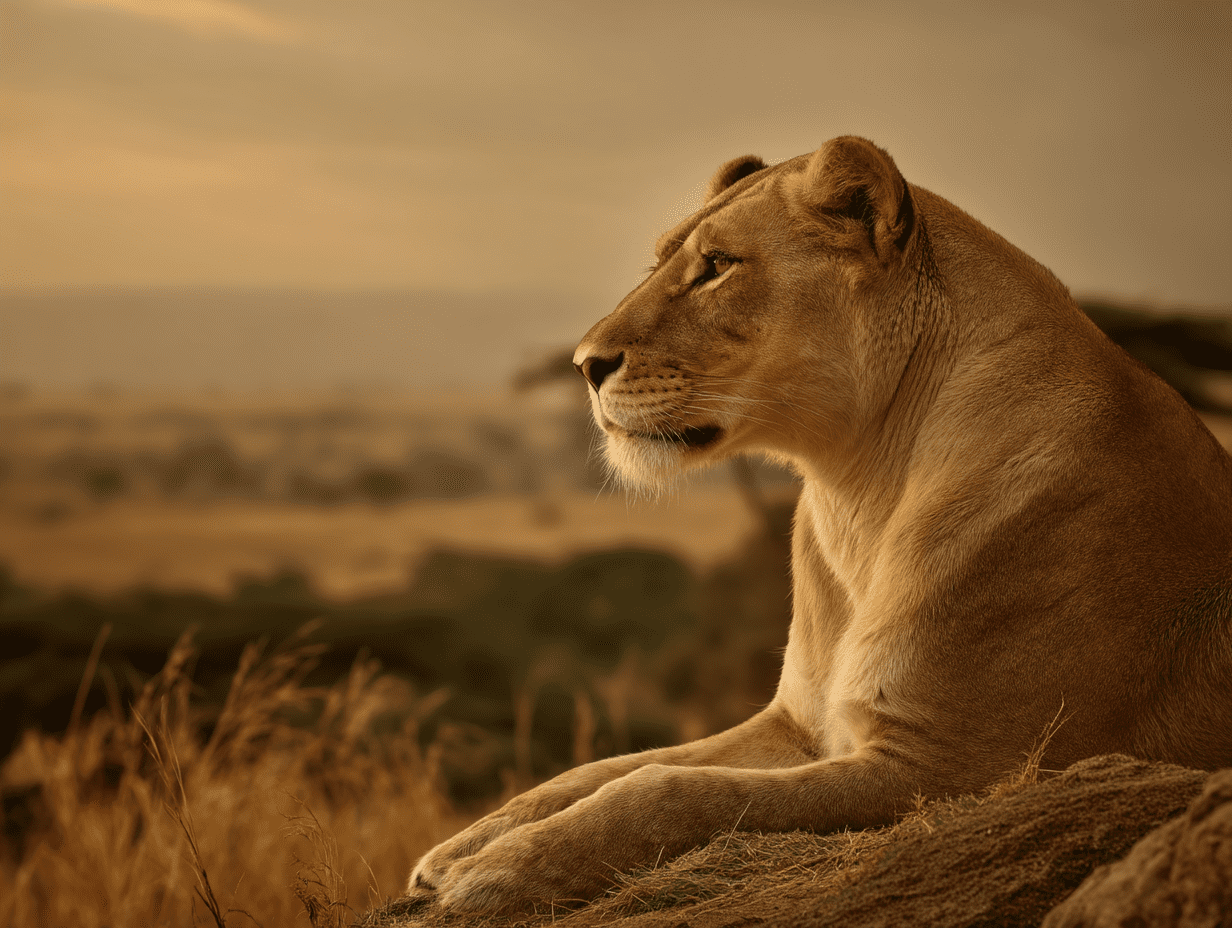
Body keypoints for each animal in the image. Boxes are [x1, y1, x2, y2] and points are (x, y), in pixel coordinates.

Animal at [407, 136, 1232, 914]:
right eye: (662, 258)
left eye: (717, 266)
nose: (583, 364)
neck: (859, 487)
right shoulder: (796, 723)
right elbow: (607, 768)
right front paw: (463, 846)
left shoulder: (957, 767)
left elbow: (672, 790)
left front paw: (502, 869)